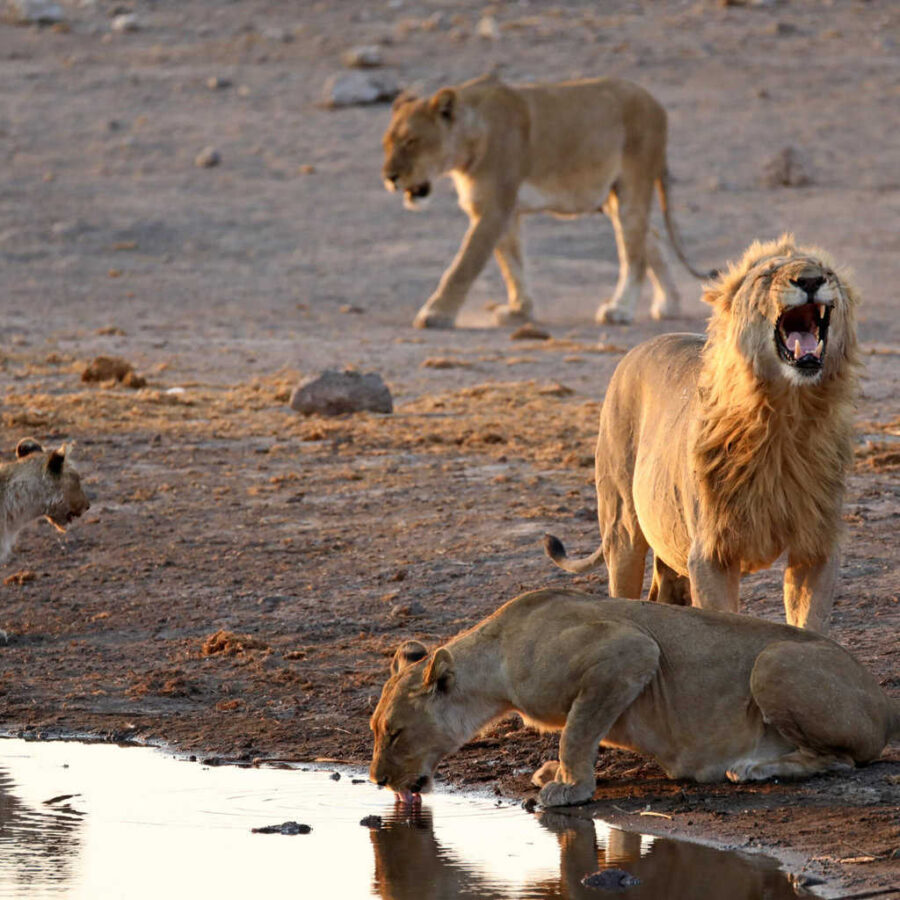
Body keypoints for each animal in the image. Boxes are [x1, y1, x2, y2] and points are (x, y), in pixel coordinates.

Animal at [370, 592, 896, 808]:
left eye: (395, 733)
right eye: (377, 731)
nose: (376, 780)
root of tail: (883, 702)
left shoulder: (629, 651)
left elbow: (576, 733)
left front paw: (569, 788)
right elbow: (582, 731)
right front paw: (554, 772)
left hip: (773, 660)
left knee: (839, 760)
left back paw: (755, 767)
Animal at [380, 73, 712, 326]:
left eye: (411, 141)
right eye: (387, 143)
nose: (389, 177)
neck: (470, 136)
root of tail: (655, 103)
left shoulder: (494, 208)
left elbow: (464, 265)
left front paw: (435, 314)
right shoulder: (501, 210)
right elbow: (512, 263)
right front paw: (519, 311)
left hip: (633, 183)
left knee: (634, 253)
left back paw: (620, 310)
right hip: (610, 196)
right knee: (651, 237)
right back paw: (669, 304)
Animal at [540, 237, 856, 632]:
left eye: (826, 271)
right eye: (767, 275)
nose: (811, 280)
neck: (783, 414)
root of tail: (637, 348)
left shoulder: (815, 546)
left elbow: (809, 624)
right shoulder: (710, 554)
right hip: (622, 524)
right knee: (624, 581)